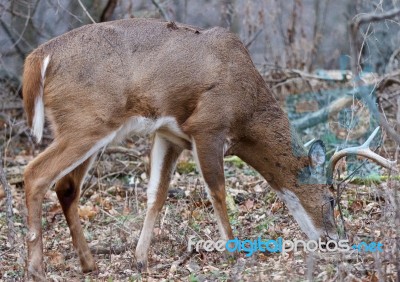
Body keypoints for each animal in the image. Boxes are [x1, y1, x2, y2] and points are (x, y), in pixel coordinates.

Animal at [22, 18, 396, 280]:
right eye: (331, 198)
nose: (332, 240)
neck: (247, 112)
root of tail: (38, 57)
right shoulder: (208, 126)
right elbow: (217, 189)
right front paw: (232, 250)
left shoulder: (169, 134)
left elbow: (157, 194)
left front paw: (140, 259)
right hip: (87, 121)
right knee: (35, 173)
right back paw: (36, 268)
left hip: (87, 128)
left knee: (66, 186)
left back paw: (89, 264)